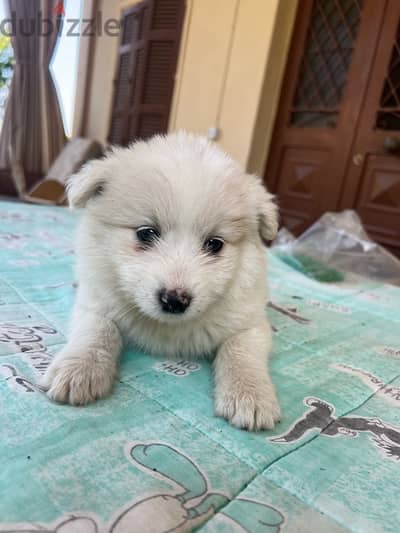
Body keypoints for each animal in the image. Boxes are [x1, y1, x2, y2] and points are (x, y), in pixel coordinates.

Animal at [39, 131, 278, 430]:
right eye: (146, 233)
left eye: (215, 244)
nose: (175, 300)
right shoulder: (94, 306)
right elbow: (97, 332)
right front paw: (79, 368)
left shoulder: (250, 323)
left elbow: (241, 351)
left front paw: (250, 395)